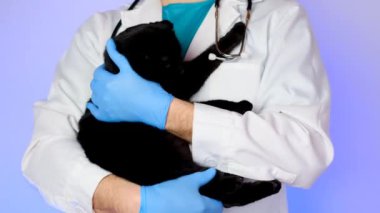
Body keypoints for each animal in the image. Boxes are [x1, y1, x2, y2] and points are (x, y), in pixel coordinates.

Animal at [77, 20, 280, 206]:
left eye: (179, 53)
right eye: (166, 62)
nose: (180, 68)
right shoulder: (181, 86)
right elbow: (206, 78)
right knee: (215, 191)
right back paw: (252, 184)